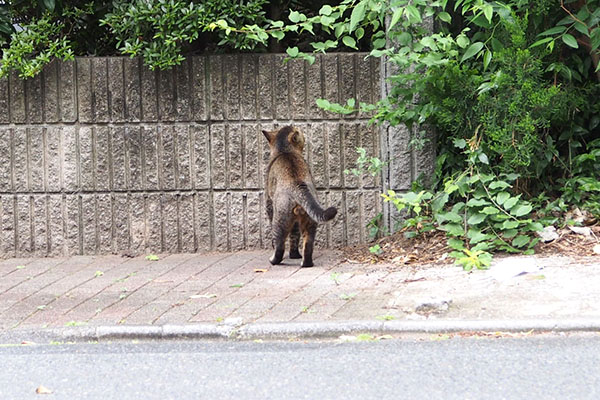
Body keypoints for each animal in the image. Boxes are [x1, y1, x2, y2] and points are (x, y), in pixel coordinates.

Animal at [262, 126, 338, 268]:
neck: (285, 151)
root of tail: (298, 185)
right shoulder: (296, 224)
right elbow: (294, 237)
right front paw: (294, 255)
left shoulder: (268, 202)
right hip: (309, 221)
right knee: (308, 244)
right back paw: (306, 262)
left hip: (280, 218)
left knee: (279, 245)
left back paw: (273, 260)